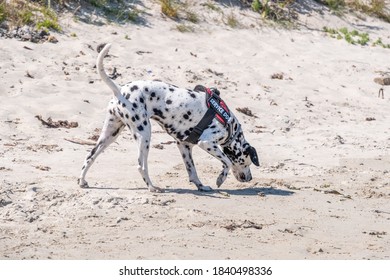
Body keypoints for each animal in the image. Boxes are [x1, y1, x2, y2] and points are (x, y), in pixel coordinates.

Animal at [78, 43, 258, 192]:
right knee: (141, 166)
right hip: (144, 134)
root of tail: (120, 90)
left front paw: (201, 186)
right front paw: (220, 179)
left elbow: (192, 171)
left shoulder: (184, 146)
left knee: (89, 156)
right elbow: (227, 162)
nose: (250, 178)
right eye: (248, 162)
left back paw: (82, 181)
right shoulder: (206, 143)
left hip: (110, 135)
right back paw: (152, 187)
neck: (229, 125)